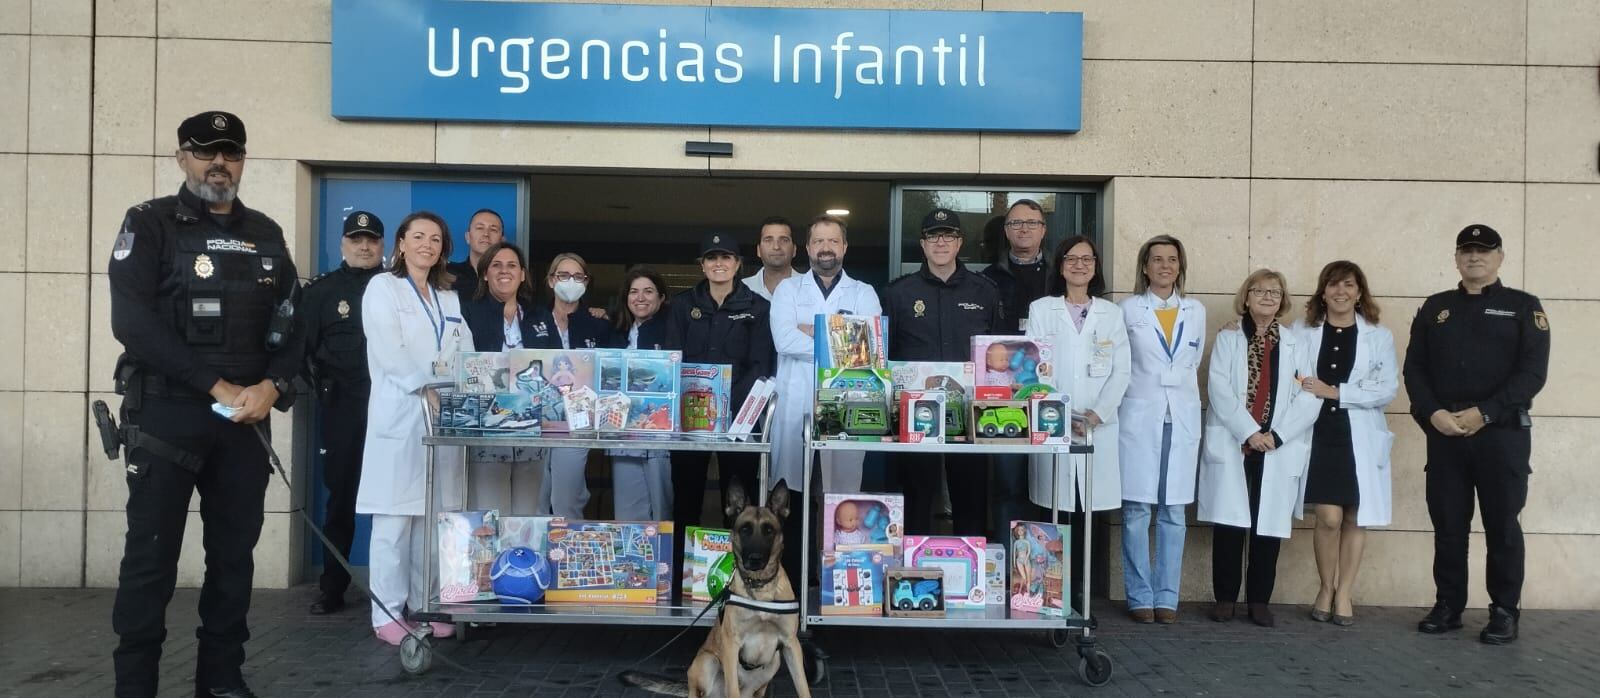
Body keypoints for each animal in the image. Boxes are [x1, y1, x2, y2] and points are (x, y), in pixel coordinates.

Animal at [614, 483, 806, 698]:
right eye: (745, 529)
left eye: (769, 530)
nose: (754, 559)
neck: (760, 588)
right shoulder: (731, 645)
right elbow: (733, 689)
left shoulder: (791, 644)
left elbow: (804, 687)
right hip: (708, 662)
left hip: (773, 663)